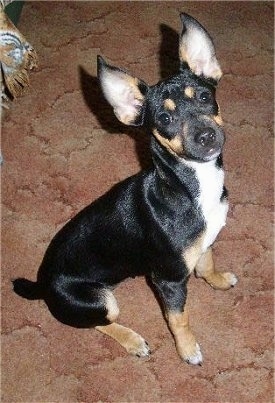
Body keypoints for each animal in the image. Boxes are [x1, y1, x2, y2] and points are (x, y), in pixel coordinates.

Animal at [12, 12, 237, 366]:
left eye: (204, 97)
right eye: (164, 118)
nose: (206, 136)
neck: (191, 188)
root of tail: (42, 284)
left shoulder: (204, 243)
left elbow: (207, 263)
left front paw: (218, 280)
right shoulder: (169, 281)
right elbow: (179, 318)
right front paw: (188, 350)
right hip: (101, 300)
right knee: (100, 323)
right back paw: (133, 341)